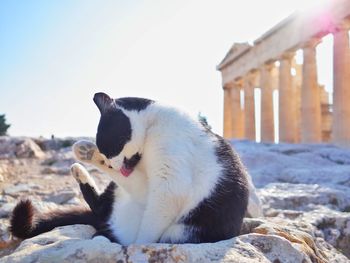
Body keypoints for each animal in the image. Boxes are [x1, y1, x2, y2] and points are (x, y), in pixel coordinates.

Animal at [10, 92, 260, 245]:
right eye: (108, 152)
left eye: (112, 147)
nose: (112, 164)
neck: (154, 123)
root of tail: (107, 222)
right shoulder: (147, 182)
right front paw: (91, 152)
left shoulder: (169, 185)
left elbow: (147, 231)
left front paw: (138, 247)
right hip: (119, 193)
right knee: (101, 205)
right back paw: (82, 159)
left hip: (176, 231)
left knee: (107, 213)